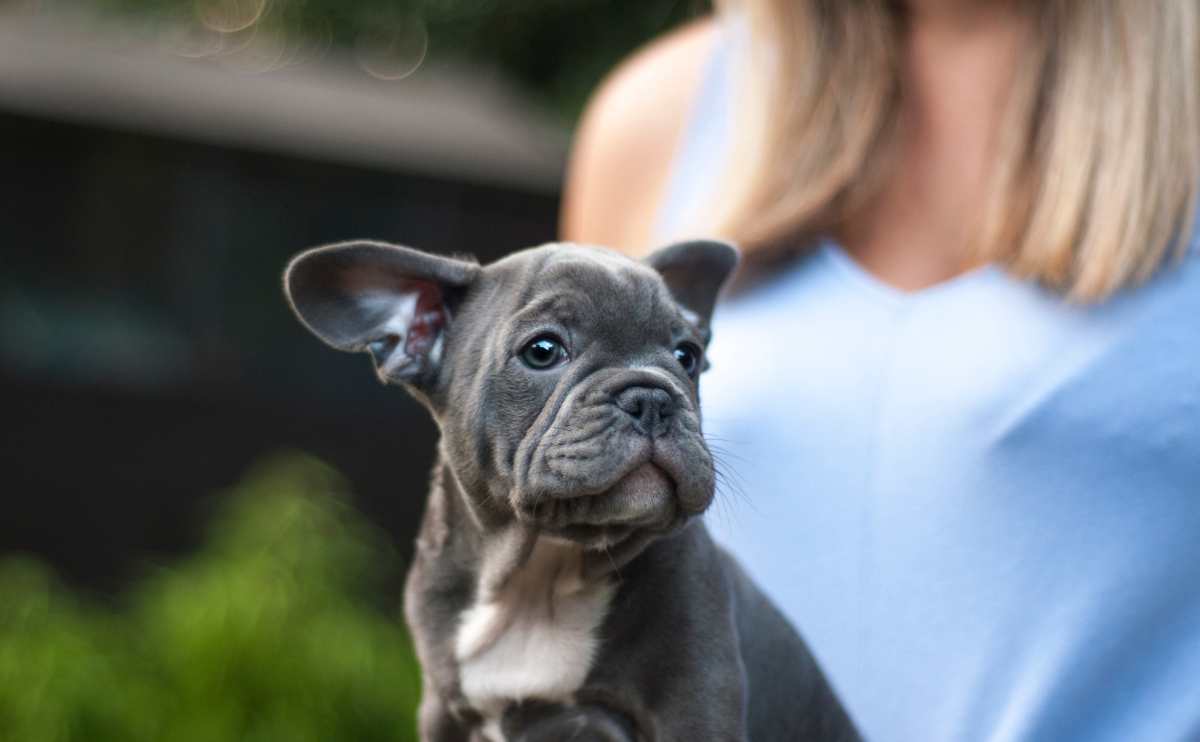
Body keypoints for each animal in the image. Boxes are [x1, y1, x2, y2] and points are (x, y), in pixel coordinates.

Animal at [285, 238, 859, 739]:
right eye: (543, 350)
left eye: (687, 356)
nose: (652, 397)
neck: (539, 574)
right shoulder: (443, 712)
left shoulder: (697, 705)